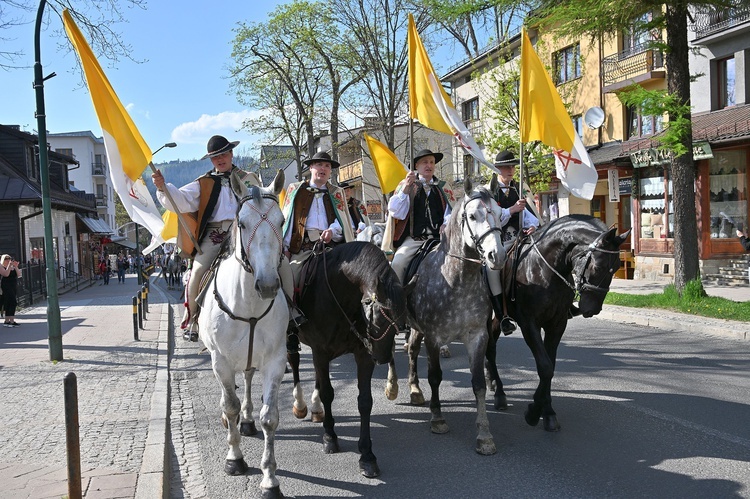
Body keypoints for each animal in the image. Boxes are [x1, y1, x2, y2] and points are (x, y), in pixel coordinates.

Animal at [198, 170, 290, 498]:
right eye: (242, 223)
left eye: (281, 221)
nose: (268, 285)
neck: (248, 303)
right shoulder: (221, 362)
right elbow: (230, 405)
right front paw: (234, 459)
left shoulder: (276, 360)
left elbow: (270, 417)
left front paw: (270, 479)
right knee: (231, 401)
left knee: (248, 380)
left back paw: (248, 420)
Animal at [286, 242, 412, 480]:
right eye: (379, 317)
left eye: (401, 321)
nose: (383, 357)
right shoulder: (321, 352)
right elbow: (328, 393)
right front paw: (330, 437)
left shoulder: (363, 355)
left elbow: (365, 402)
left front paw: (367, 456)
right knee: (294, 360)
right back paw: (300, 405)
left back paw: (316, 409)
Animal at [384, 183, 508, 458]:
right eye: (472, 216)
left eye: (498, 213)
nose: (496, 255)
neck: (457, 279)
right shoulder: (434, 337)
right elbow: (435, 376)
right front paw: (438, 418)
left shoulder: (477, 336)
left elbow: (478, 384)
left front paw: (484, 435)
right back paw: (393, 386)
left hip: (416, 329)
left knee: (411, 351)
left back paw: (415, 390)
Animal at [484, 213, 632, 432]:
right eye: (598, 266)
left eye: (616, 269)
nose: (592, 309)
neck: (544, 269)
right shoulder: (530, 325)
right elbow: (545, 366)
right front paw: (533, 412)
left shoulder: (557, 324)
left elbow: (551, 367)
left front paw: (547, 412)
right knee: (490, 347)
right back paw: (499, 392)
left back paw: (491, 381)